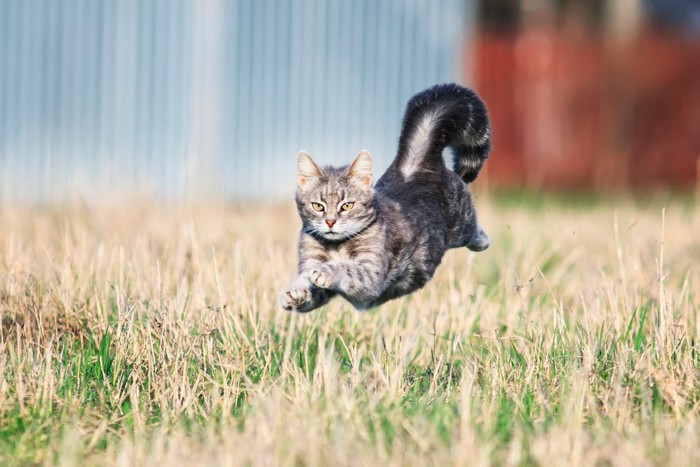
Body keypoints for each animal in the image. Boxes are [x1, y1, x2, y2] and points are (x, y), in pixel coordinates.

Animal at [280, 83, 492, 314]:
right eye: (318, 206)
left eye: (347, 205)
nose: (330, 222)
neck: (335, 245)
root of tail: (416, 166)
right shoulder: (313, 267)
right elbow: (308, 285)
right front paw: (295, 293)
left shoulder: (371, 276)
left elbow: (346, 267)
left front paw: (326, 271)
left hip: (462, 224)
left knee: (475, 231)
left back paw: (483, 241)